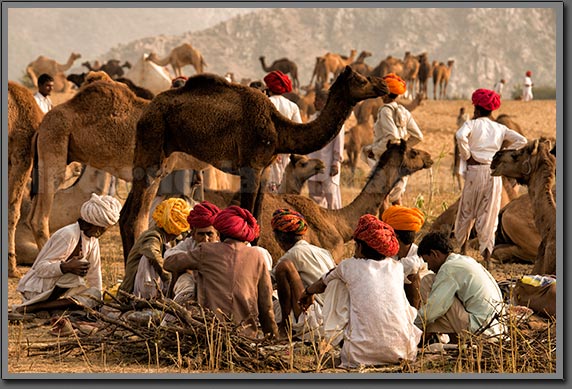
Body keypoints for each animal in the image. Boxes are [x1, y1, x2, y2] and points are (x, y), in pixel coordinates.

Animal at [120, 66, 388, 260]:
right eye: (362, 80)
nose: (383, 84)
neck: (279, 130)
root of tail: (146, 111)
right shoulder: (251, 166)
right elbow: (246, 221)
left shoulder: (265, 168)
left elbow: (257, 223)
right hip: (152, 147)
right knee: (135, 217)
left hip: (161, 157)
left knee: (126, 214)